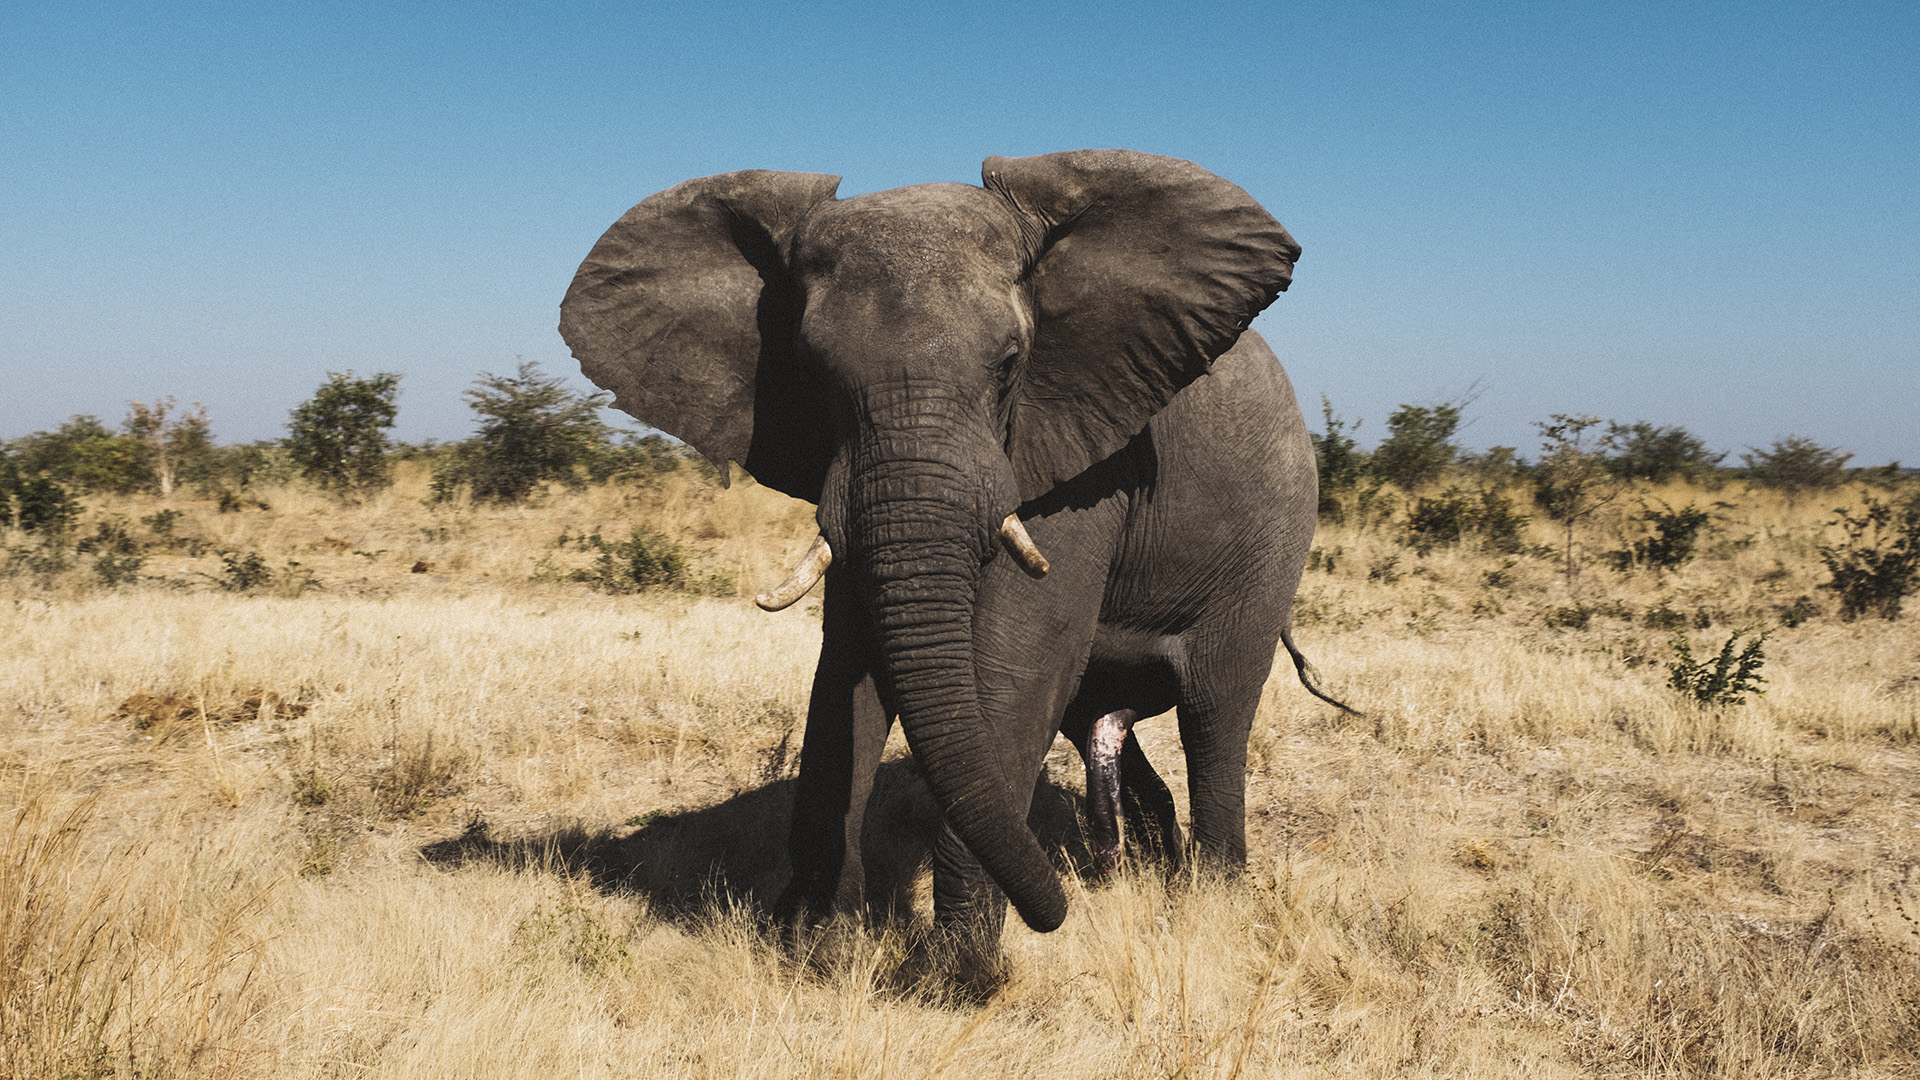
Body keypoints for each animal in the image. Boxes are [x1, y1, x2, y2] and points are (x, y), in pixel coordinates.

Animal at [556, 147, 1344, 980]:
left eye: (1010, 364)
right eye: (810, 370)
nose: (1056, 916)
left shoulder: (1079, 447)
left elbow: (1016, 660)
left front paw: (953, 975)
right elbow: (847, 666)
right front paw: (815, 947)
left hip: (1273, 537)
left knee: (1214, 707)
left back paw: (1207, 900)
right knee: (1100, 721)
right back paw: (1139, 870)